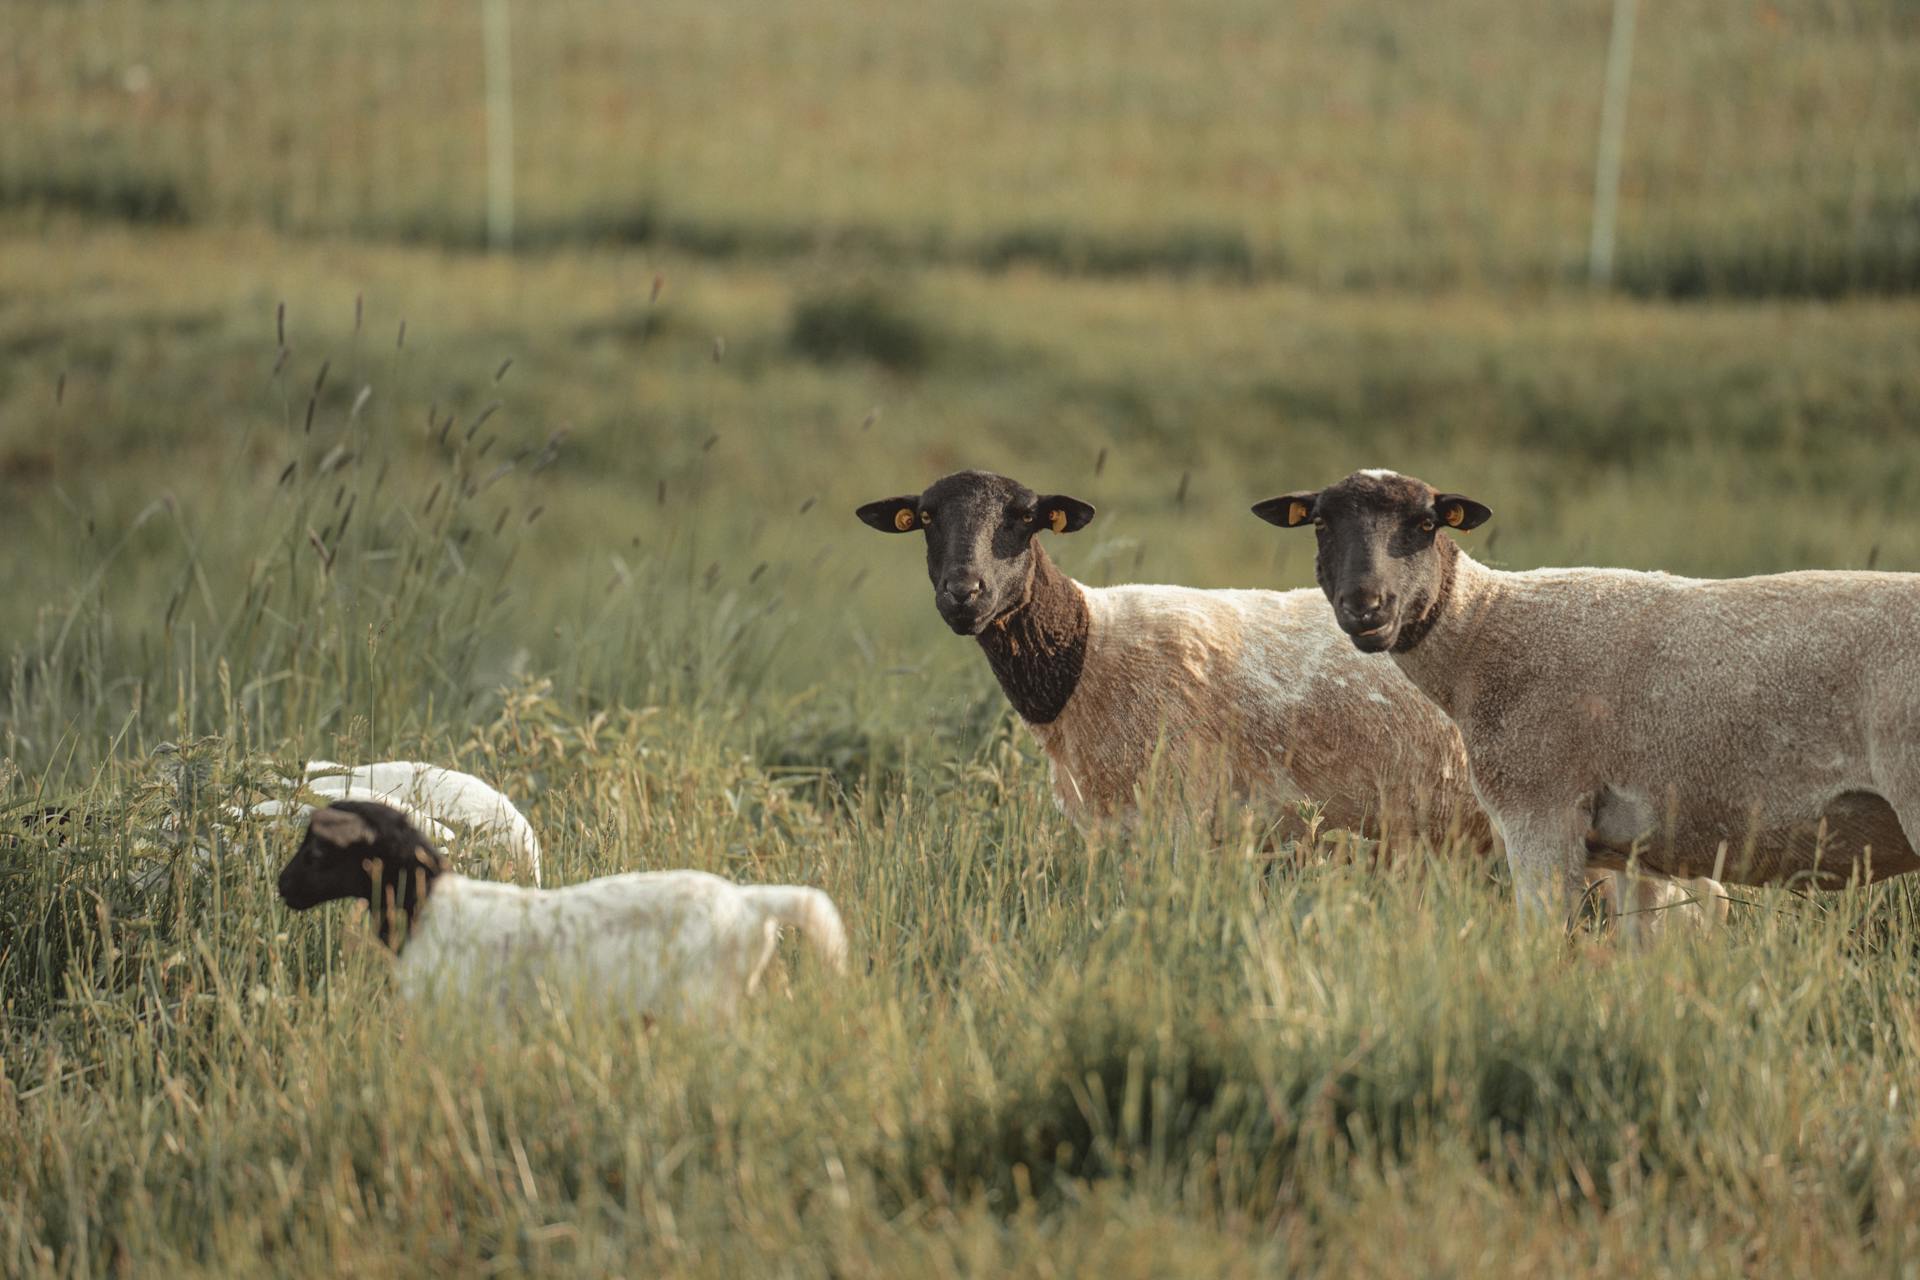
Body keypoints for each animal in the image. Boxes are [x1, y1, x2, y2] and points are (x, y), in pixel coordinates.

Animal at [1251, 466, 1912, 924]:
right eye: (1321, 523)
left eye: (1426, 524)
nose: (1366, 609)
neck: (1482, 632)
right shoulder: (1637, 856)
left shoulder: (1539, 812)